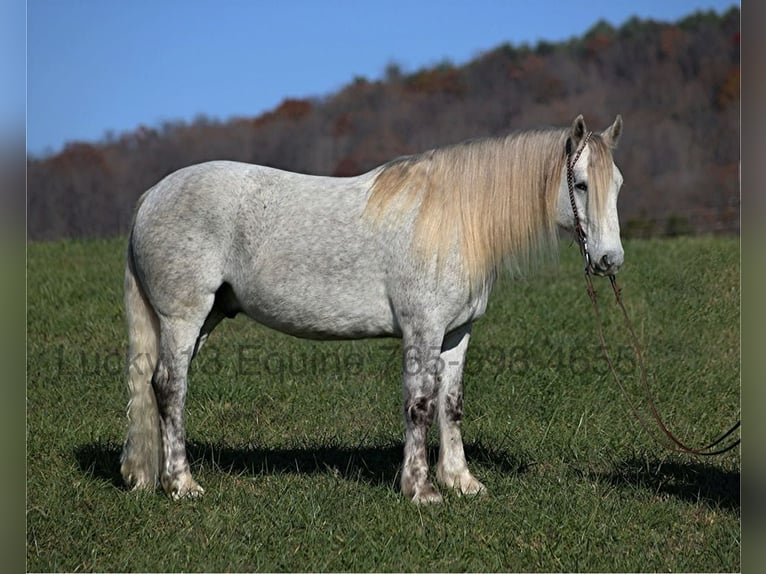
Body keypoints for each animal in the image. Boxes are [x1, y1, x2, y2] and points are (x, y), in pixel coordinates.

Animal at [120, 114, 624, 503]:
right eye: (581, 184)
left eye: (617, 185)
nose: (609, 260)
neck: (453, 218)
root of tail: (150, 196)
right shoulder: (423, 331)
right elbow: (420, 405)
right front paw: (421, 490)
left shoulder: (456, 334)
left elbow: (451, 405)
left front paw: (461, 482)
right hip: (183, 319)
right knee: (170, 388)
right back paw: (182, 485)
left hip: (205, 319)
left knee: (155, 386)